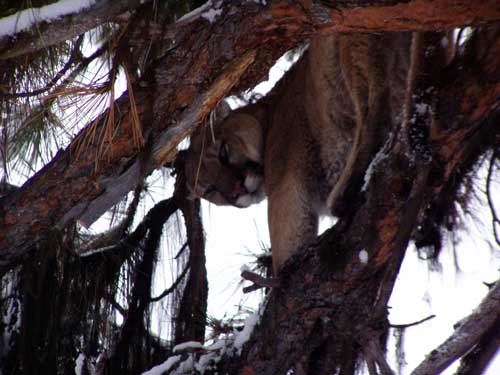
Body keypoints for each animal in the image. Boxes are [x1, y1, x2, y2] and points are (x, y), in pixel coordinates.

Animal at [184, 33, 410, 274]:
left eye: (223, 153)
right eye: (210, 190)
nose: (237, 191)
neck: (268, 115)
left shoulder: (287, 188)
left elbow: (284, 251)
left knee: (375, 102)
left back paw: (344, 194)